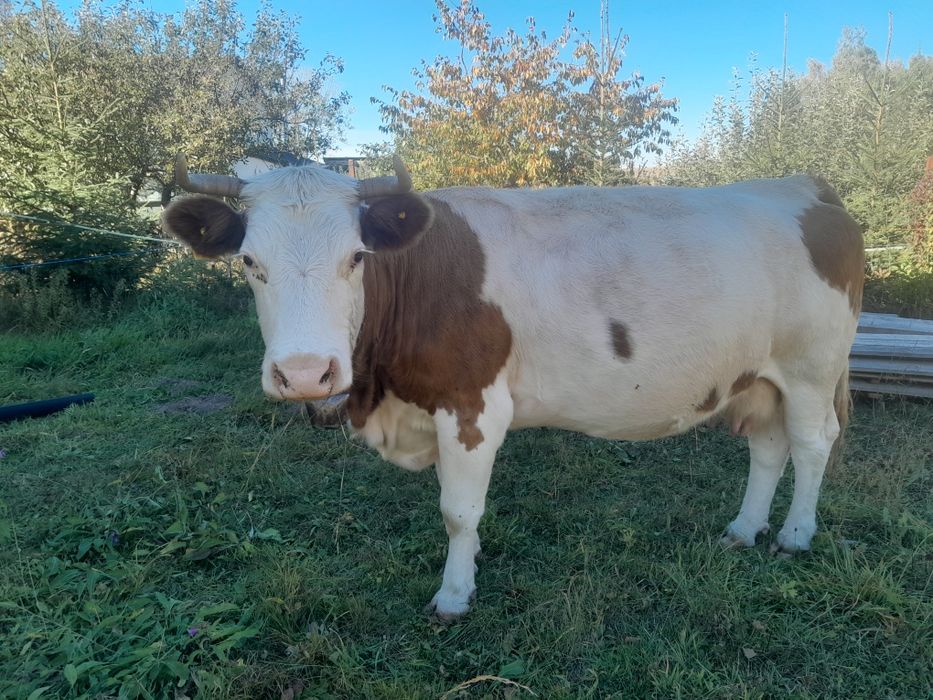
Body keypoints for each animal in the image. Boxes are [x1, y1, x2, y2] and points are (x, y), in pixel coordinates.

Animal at [163, 155, 863, 620]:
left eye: (356, 257)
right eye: (250, 262)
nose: (307, 373)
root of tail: (804, 186)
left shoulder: (472, 406)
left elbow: (458, 512)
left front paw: (453, 595)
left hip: (811, 367)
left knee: (812, 444)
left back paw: (795, 536)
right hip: (761, 377)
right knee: (768, 447)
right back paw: (745, 529)